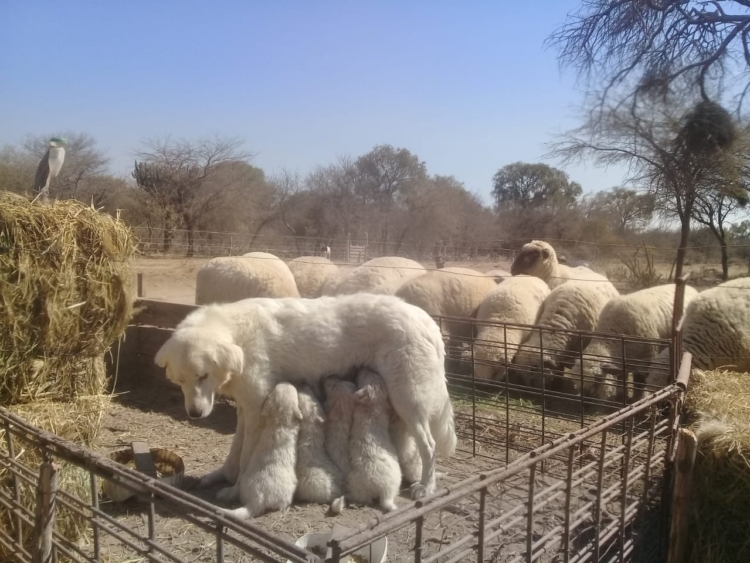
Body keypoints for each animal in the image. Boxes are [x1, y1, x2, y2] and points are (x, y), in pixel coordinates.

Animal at [570, 284, 699, 402]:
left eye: (598, 379)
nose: (586, 402)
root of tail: (691, 287)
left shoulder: (646, 360)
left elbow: (639, 383)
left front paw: (638, 399)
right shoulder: (623, 362)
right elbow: (621, 379)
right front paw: (620, 397)